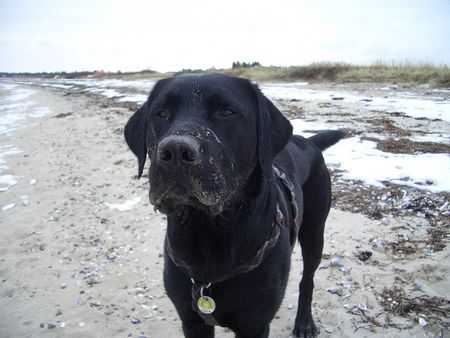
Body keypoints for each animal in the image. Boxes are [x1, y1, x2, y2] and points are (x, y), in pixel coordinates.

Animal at [125, 74, 342, 338]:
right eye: (161, 113)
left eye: (227, 111)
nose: (175, 150)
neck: (207, 233)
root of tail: (307, 141)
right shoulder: (192, 321)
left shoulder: (254, 324)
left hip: (314, 232)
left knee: (307, 279)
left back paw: (304, 322)